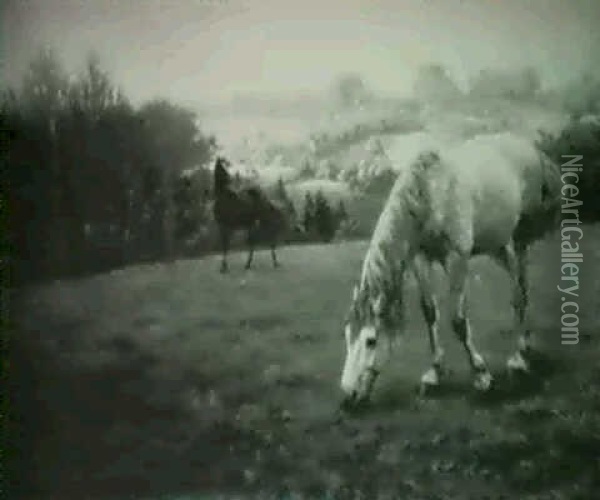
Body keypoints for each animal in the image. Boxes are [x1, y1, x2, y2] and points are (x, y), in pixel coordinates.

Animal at [342, 132, 564, 406]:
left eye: (371, 341)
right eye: (347, 335)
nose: (347, 396)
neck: (430, 194)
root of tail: (531, 149)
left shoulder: (457, 258)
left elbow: (457, 320)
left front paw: (481, 376)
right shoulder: (421, 258)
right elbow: (429, 312)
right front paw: (433, 374)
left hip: (519, 239)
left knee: (519, 291)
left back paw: (518, 360)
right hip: (499, 246)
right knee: (520, 286)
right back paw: (524, 347)